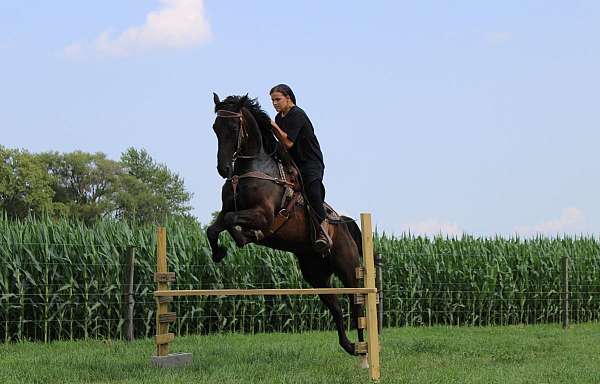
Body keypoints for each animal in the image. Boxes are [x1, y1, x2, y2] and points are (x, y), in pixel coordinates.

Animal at [206, 94, 366, 356]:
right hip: (315, 275)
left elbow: (233, 223)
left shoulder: (263, 216)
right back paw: (350, 346)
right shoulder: (227, 210)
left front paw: (245, 237)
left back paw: (362, 349)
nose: (223, 169)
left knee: (357, 304)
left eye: (233, 128)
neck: (254, 169)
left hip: (348, 268)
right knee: (336, 307)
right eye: (215, 128)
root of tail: (344, 224)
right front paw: (219, 253)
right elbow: (214, 228)